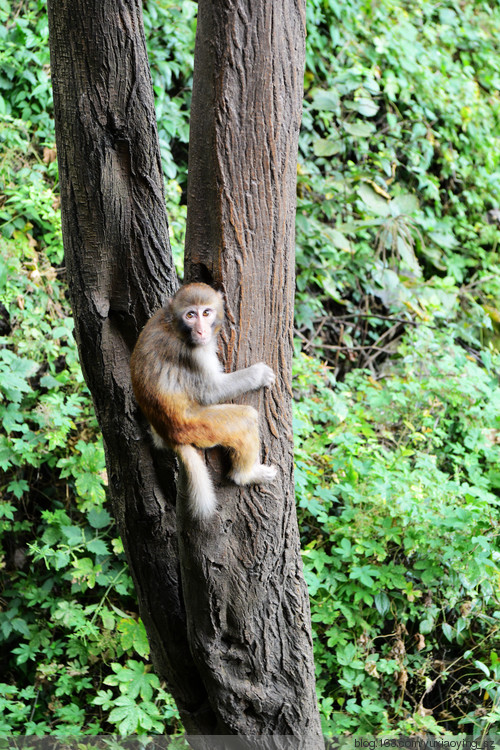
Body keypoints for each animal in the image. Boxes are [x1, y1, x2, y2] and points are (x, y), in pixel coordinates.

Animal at [129, 284, 278, 520]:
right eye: (190, 315)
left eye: (206, 313)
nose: (201, 331)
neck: (174, 326)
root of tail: (168, 434)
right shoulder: (194, 354)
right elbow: (211, 392)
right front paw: (259, 374)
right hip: (200, 426)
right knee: (246, 418)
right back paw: (245, 475)